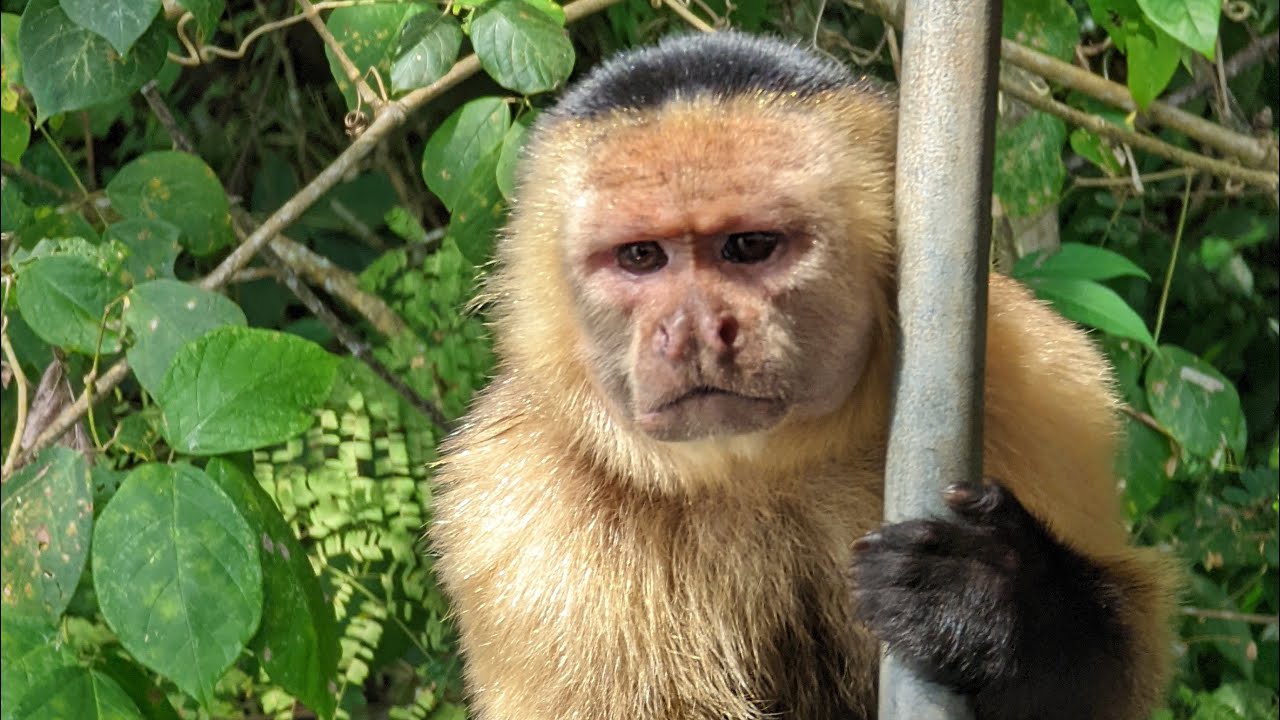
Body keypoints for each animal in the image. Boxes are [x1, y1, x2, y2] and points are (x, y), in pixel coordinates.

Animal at [429, 31, 1177, 720]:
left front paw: (996, 599)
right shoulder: (511, 513)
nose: (694, 330)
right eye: (641, 256)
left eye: (750, 246)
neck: (757, 468)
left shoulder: (1039, 387)